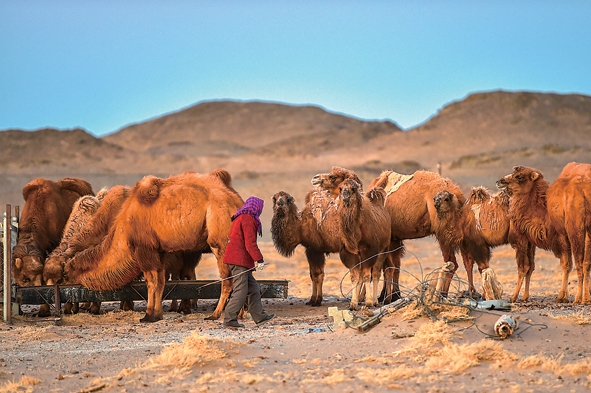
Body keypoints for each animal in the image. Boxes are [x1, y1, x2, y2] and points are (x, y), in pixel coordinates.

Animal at [62, 170, 243, 320]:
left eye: (65, 272)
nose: (63, 286)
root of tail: (236, 202)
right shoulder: (159, 252)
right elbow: (160, 282)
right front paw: (158, 313)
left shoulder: (144, 250)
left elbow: (151, 282)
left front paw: (148, 314)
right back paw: (239, 314)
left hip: (220, 239)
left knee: (229, 279)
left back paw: (215, 314)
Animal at [338, 178, 394, 310]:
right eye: (340, 188)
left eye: (353, 188)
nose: (345, 195)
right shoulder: (351, 254)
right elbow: (355, 277)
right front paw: (353, 303)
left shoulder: (369, 251)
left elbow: (367, 276)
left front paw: (368, 302)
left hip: (383, 249)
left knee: (376, 273)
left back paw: (375, 301)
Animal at [500, 162, 591, 304]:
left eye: (519, 176)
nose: (500, 181)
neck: (545, 212)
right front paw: (564, 296)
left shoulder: (561, 235)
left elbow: (566, 265)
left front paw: (561, 296)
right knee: (586, 263)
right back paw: (586, 298)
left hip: (576, 229)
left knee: (580, 262)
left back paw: (579, 298)